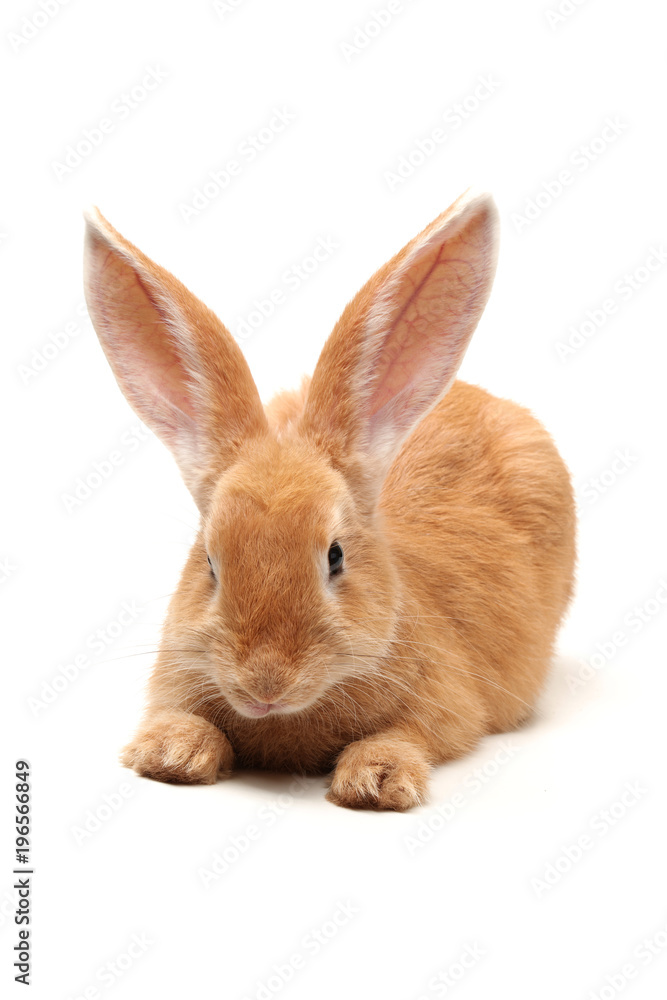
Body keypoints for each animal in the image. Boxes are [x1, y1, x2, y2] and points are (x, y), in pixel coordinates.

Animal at [82, 191, 576, 808]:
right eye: (211, 563)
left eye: (335, 557)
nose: (265, 684)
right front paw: (170, 753)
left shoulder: (448, 706)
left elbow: (408, 736)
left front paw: (376, 780)